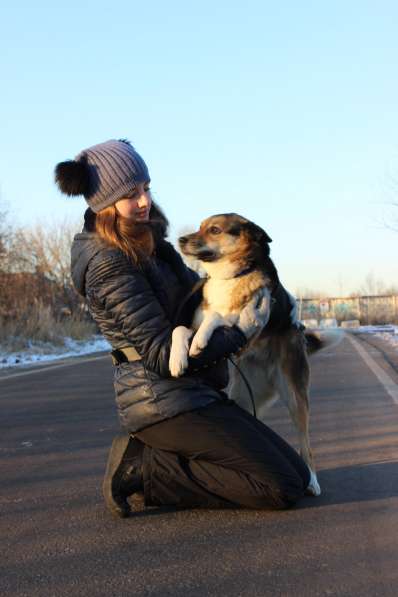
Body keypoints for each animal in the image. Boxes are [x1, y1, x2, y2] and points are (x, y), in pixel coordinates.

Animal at [169, 212, 340, 496]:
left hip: (295, 397)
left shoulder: (244, 330)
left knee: (305, 444)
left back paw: (313, 482)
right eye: (200, 226)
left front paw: (200, 342)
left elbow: (217, 317)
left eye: (214, 230)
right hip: (242, 395)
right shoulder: (193, 325)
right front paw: (177, 359)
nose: (180, 240)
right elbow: (179, 329)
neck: (231, 277)